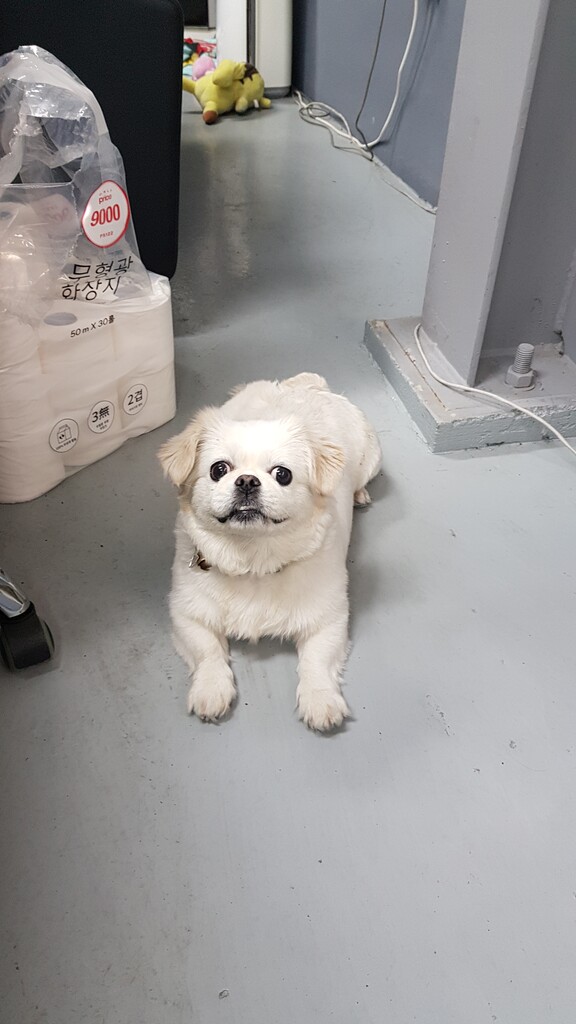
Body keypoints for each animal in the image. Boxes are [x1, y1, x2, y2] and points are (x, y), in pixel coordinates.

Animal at [158, 373, 381, 731]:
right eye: (218, 470)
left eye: (282, 474)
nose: (247, 481)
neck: (253, 561)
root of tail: (306, 385)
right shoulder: (187, 614)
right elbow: (208, 652)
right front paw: (211, 690)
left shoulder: (329, 620)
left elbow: (316, 661)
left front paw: (320, 701)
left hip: (372, 460)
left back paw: (359, 494)